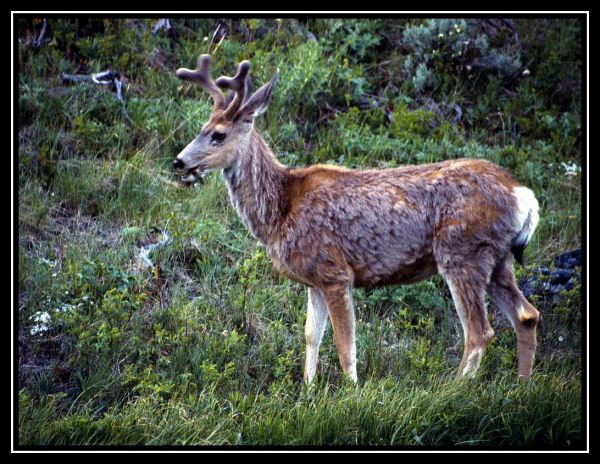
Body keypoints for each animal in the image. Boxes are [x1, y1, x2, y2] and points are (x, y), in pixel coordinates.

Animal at [171, 53, 540, 384]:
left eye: (218, 134)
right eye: (201, 128)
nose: (178, 161)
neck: (280, 210)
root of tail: (522, 195)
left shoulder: (335, 272)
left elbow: (344, 343)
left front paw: (350, 393)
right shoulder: (312, 279)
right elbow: (311, 335)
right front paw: (308, 391)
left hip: (462, 251)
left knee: (479, 331)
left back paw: (452, 390)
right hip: (497, 258)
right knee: (526, 315)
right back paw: (520, 390)